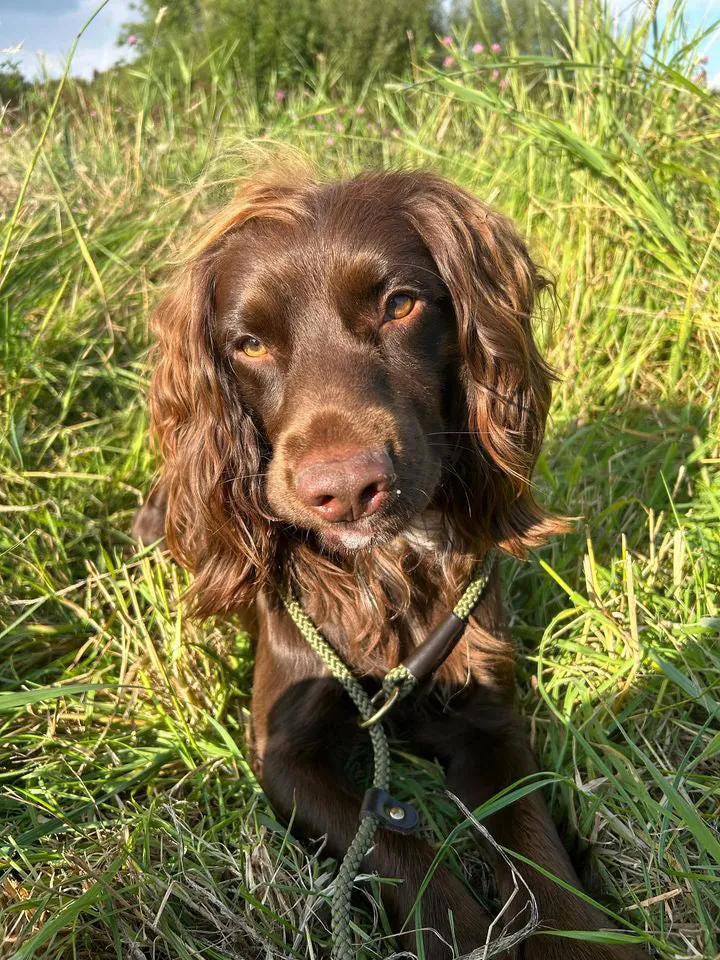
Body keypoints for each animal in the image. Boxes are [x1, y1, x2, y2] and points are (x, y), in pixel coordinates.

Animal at [135, 171, 648, 960]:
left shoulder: (488, 717)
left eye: (400, 305)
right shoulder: (283, 750)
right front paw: (460, 931)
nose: (345, 490)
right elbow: (391, 841)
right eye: (248, 345)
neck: (386, 565)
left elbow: (531, 836)